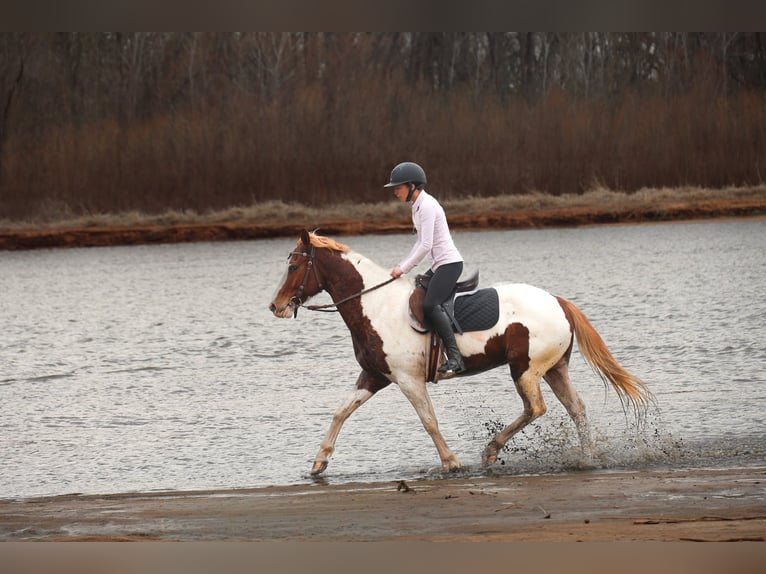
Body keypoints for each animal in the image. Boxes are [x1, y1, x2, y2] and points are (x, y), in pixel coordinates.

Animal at [269, 229, 652, 476]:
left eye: (294, 266)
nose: (276, 306)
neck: (374, 305)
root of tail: (558, 301)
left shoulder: (408, 380)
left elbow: (428, 421)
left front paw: (451, 462)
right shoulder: (375, 375)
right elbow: (340, 412)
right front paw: (319, 463)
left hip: (525, 369)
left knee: (536, 408)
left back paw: (491, 450)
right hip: (555, 368)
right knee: (576, 408)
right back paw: (587, 458)